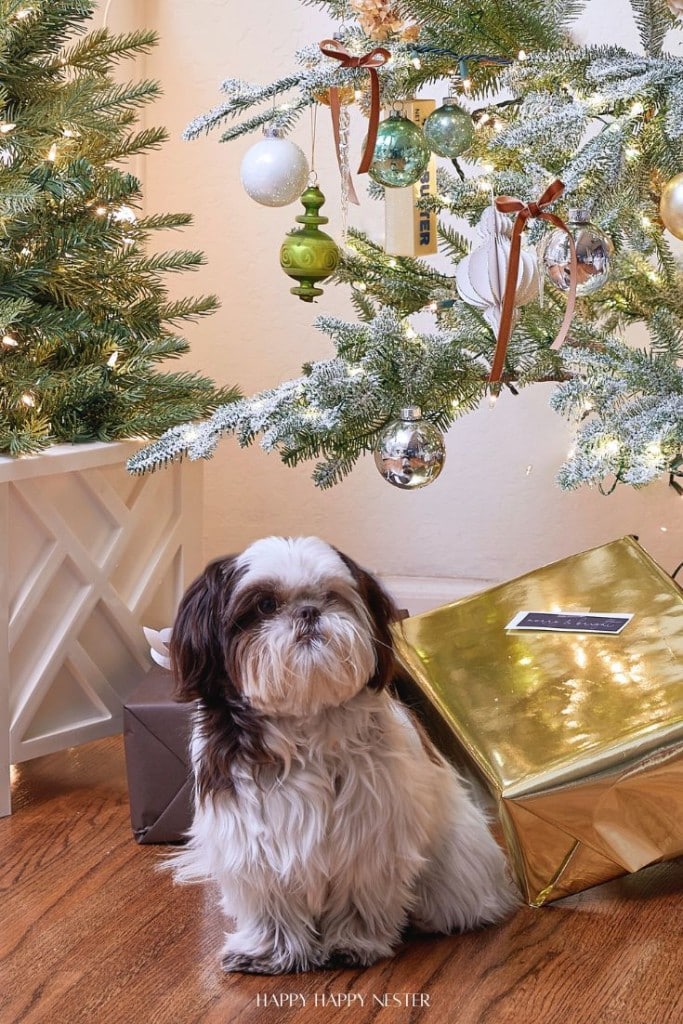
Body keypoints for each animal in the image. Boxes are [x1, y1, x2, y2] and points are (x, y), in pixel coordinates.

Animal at [166, 532, 518, 970]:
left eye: (330, 596)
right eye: (265, 605)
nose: (309, 612)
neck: (305, 720)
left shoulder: (366, 836)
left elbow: (357, 892)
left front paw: (352, 943)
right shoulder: (252, 838)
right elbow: (270, 900)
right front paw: (269, 950)